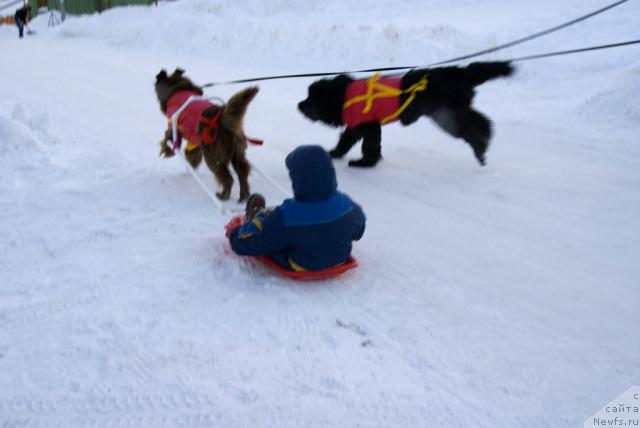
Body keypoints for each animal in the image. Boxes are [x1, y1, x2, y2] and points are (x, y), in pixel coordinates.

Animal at [156, 68, 258, 202]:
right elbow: (192, 152)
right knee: (242, 172)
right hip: (237, 153)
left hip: (214, 156)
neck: (177, 88)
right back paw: (244, 195)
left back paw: (223, 195)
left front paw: (166, 150)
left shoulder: (174, 128)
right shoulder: (194, 140)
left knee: (227, 178)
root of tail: (223, 118)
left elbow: (169, 139)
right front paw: (191, 163)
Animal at [300, 61, 516, 166]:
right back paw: (484, 143)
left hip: (446, 115)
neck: (342, 96)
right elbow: (346, 141)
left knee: (474, 127)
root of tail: (455, 72)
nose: (299, 105)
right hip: (453, 110)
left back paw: (481, 147)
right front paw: (335, 153)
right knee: (482, 121)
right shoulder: (357, 126)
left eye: (311, 99)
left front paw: (365, 163)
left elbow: (369, 146)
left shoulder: (368, 126)